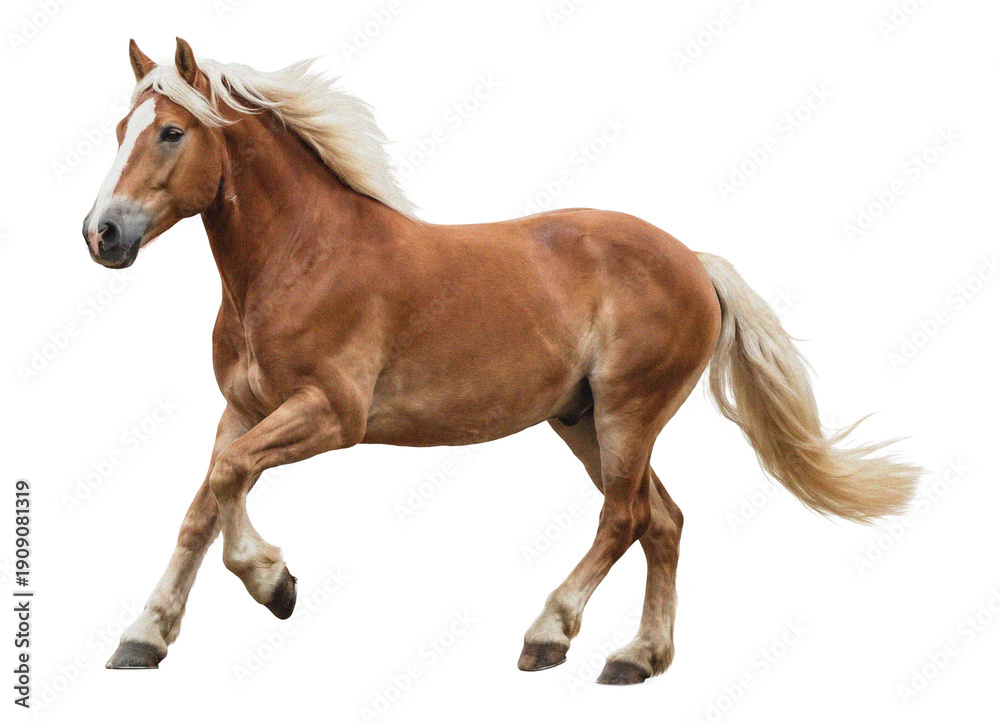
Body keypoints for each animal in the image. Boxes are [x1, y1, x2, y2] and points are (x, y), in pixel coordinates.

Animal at [82, 38, 922, 684]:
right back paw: (638, 657)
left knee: (625, 517)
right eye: (121, 126)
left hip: (628, 412)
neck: (297, 256)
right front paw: (144, 636)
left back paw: (548, 634)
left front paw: (273, 582)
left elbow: (228, 479)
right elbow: (204, 501)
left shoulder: (330, 414)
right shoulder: (245, 408)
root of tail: (694, 261)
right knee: (664, 521)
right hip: (583, 420)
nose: (102, 233)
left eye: (169, 132)